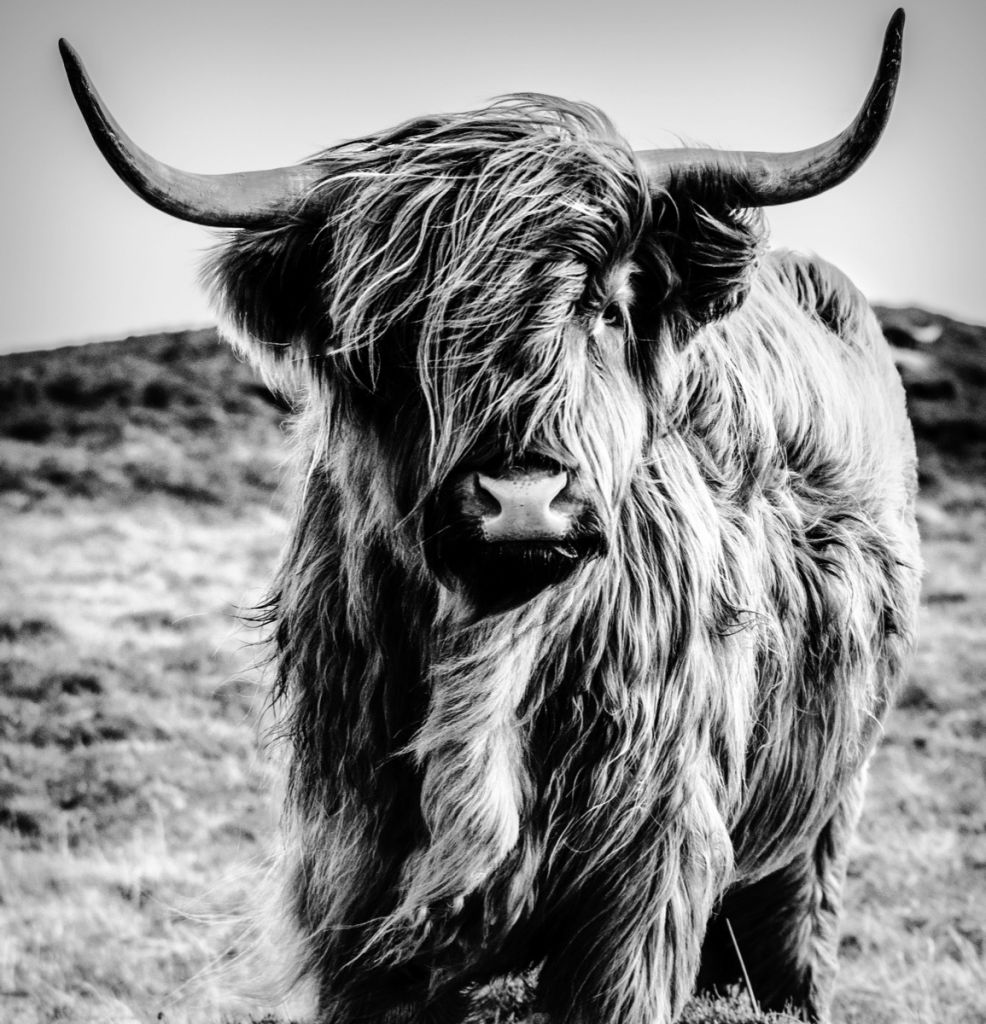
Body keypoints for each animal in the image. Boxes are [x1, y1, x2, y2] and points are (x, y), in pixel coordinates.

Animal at [61, 9, 925, 1024]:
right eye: (393, 333)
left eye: (607, 308)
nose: (522, 500)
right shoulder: (352, 885)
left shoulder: (645, 879)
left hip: (822, 815)